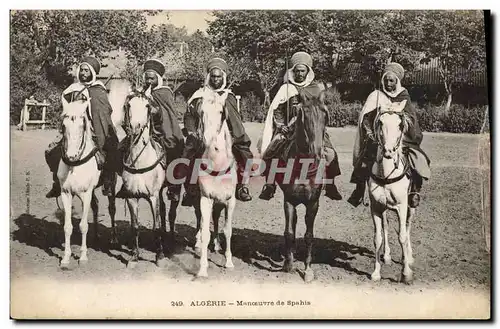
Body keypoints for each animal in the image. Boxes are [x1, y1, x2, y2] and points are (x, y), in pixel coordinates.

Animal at [58, 96, 117, 266]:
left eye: (82, 125)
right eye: (63, 125)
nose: (71, 155)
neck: (75, 165)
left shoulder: (86, 193)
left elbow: (83, 225)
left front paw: (83, 256)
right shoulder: (66, 193)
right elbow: (68, 227)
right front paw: (66, 257)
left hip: (111, 184)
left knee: (112, 208)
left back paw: (113, 238)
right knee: (96, 206)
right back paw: (96, 236)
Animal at [120, 91, 177, 268]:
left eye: (147, 106)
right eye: (128, 105)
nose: (136, 127)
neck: (140, 161)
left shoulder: (153, 197)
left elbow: (156, 226)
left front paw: (159, 257)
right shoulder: (131, 197)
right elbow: (135, 227)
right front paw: (134, 257)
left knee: (171, 212)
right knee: (164, 209)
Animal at [276, 90, 330, 282]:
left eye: (325, 115)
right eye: (303, 115)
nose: (317, 151)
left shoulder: (313, 203)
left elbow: (309, 236)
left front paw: (307, 270)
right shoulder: (289, 201)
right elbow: (289, 233)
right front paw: (288, 264)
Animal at [366, 98, 416, 284]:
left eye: (400, 125)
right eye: (380, 122)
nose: (388, 151)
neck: (387, 174)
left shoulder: (402, 206)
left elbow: (402, 236)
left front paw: (406, 273)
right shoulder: (375, 207)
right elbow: (378, 238)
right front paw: (376, 273)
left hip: (411, 205)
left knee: (407, 227)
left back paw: (408, 256)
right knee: (386, 227)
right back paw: (387, 256)